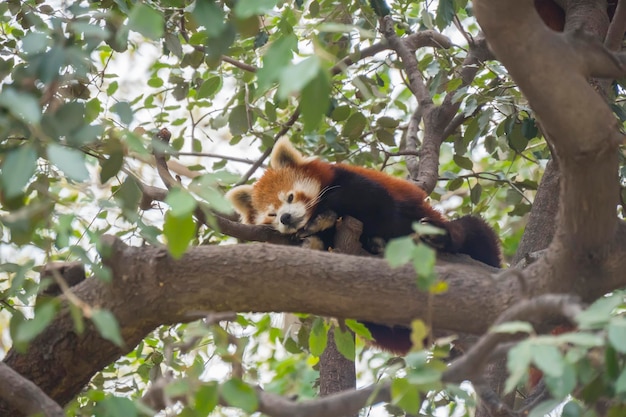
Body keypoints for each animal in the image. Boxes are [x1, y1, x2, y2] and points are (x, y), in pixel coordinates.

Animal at [227, 138, 500, 352]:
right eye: (271, 214)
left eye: (291, 197)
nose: (285, 218)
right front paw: (316, 235)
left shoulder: (360, 185)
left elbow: (371, 203)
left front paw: (322, 218)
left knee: (470, 230)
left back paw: (438, 238)